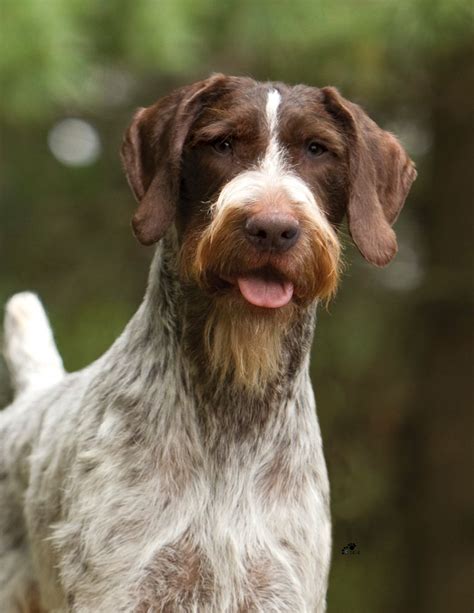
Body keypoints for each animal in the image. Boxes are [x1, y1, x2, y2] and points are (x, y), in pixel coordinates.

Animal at [0, 74, 414, 608]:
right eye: (222, 144)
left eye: (317, 149)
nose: (273, 228)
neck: (233, 411)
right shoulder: (124, 588)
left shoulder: (280, 592)